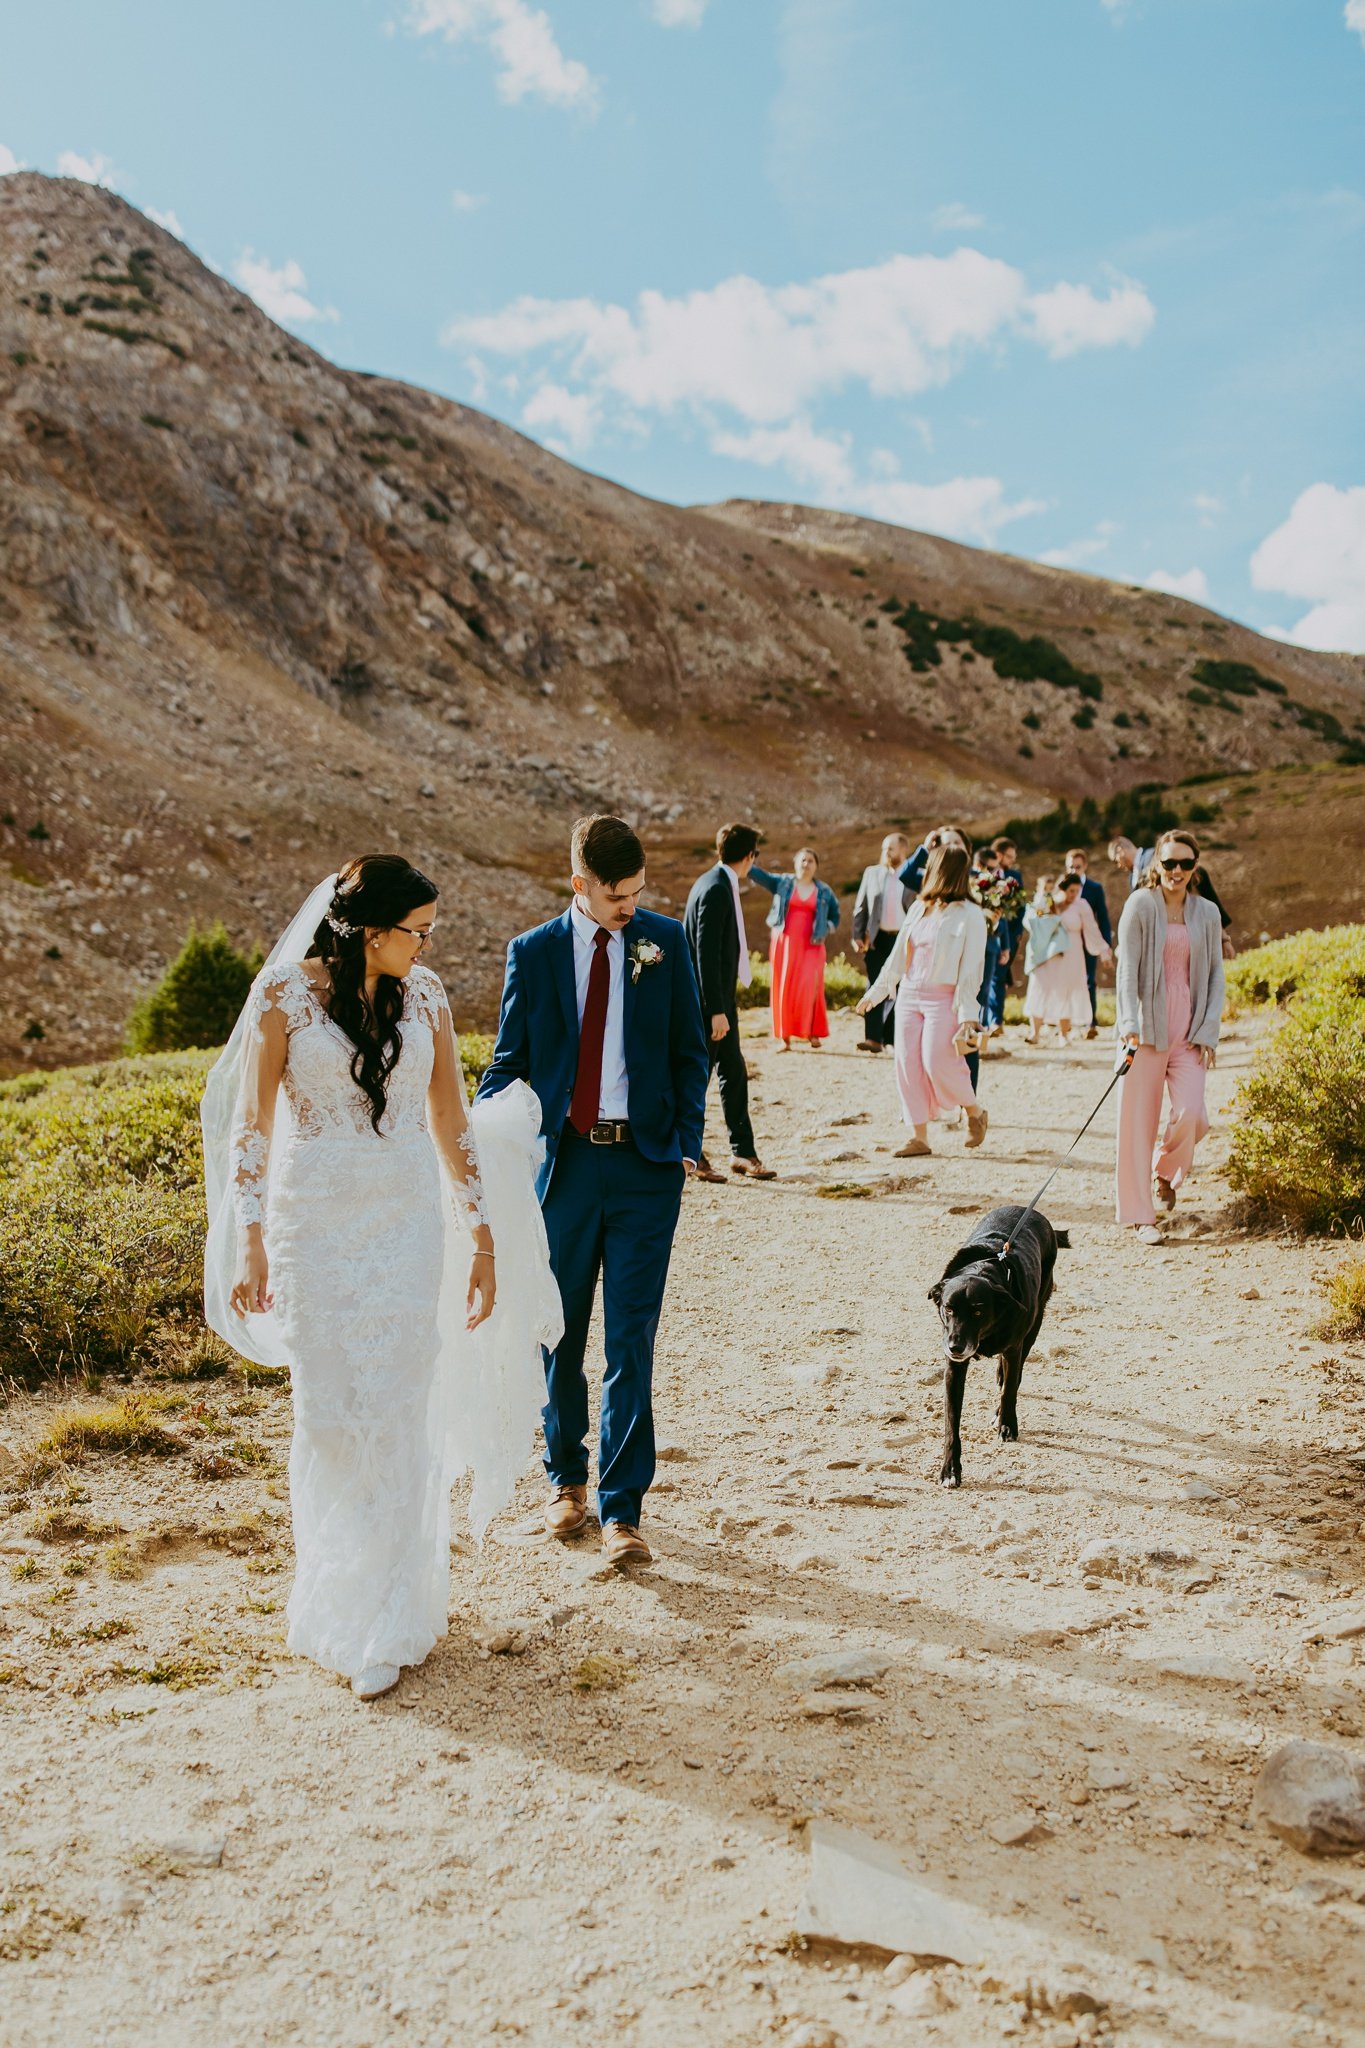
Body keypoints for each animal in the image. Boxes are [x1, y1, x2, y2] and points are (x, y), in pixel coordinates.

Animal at [929, 1196, 1064, 1490]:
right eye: (948, 1309)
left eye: (978, 1312)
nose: (955, 1347)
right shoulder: (954, 1368)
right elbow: (951, 1422)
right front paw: (950, 1470)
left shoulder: (1014, 1348)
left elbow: (1010, 1390)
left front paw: (1007, 1425)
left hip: (1034, 1326)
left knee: (1016, 1373)